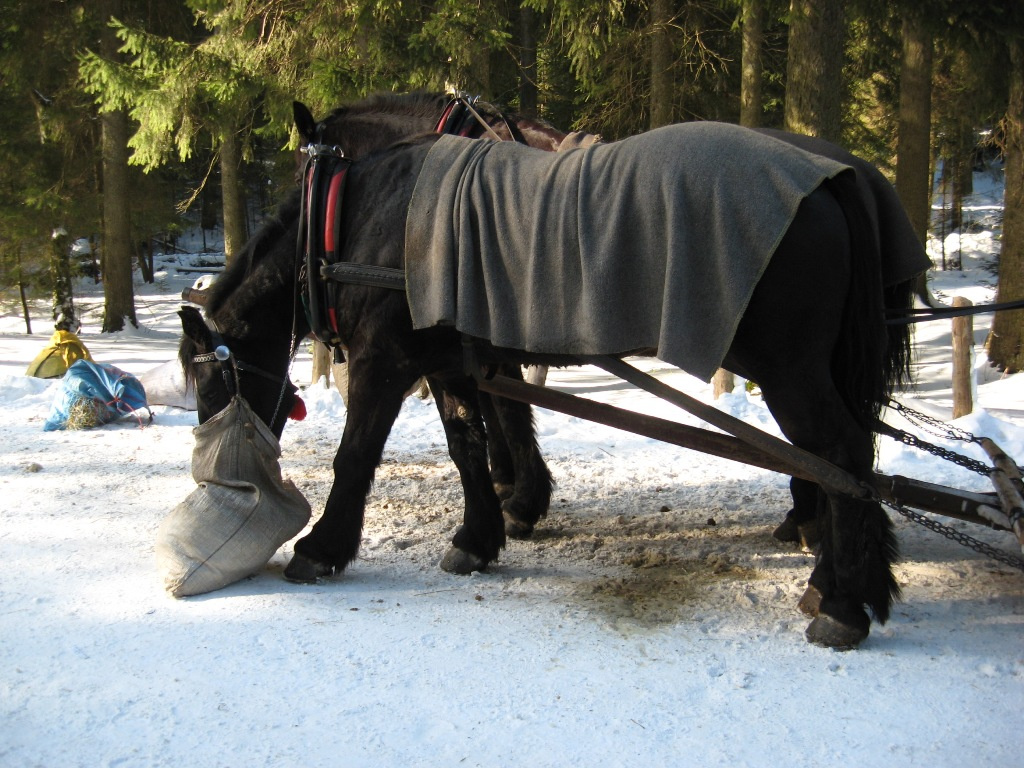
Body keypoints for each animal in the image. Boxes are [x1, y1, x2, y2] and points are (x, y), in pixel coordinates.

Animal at [182, 121, 921, 651]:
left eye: (208, 377)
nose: (215, 476)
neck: (357, 219)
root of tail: (830, 179)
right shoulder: (447, 363)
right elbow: (468, 448)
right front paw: (479, 537)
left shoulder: (382, 360)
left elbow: (356, 455)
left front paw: (322, 548)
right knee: (840, 461)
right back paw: (837, 579)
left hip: (791, 370)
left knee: (841, 456)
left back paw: (844, 604)